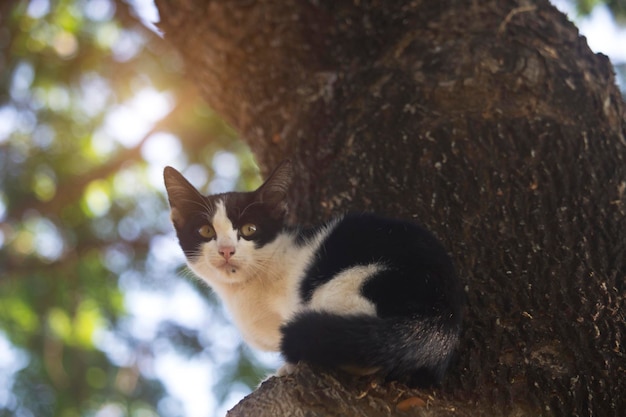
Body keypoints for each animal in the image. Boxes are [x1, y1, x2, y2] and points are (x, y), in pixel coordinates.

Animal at [163, 160, 460, 386]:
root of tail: (440, 317)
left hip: (349, 283)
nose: (226, 250)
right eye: (205, 231)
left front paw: (287, 368)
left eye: (249, 229)